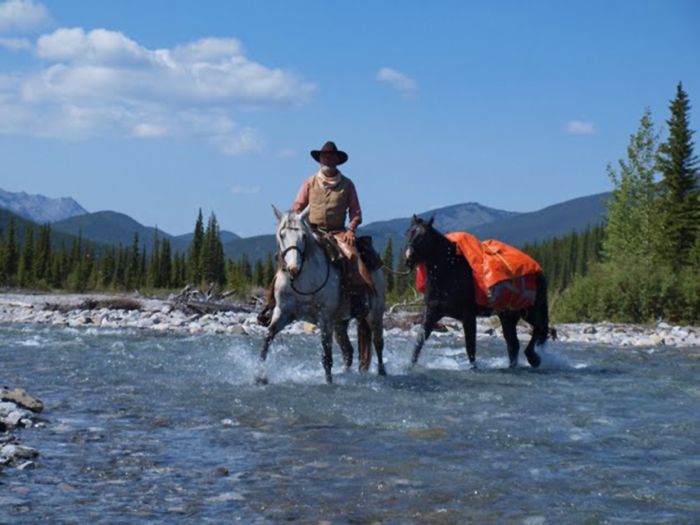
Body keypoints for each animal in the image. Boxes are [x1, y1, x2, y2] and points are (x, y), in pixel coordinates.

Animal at [258, 207, 388, 382]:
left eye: (303, 236)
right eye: (282, 235)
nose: (293, 268)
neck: (304, 281)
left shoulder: (324, 317)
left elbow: (326, 354)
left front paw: (328, 382)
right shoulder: (283, 312)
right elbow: (267, 339)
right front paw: (259, 376)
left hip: (375, 314)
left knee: (378, 343)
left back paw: (382, 372)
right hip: (340, 322)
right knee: (348, 351)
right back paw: (346, 373)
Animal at [404, 216, 548, 368]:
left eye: (423, 236)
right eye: (408, 233)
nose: (408, 259)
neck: (450, 270)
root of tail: (539, 272)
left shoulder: (468, 315)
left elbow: (470, 347)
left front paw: (474, 368)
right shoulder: (432, 312)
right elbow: (419, 342)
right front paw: (410, 366)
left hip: (530, 311)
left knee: (538, 328)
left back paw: (532, 358)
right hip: (508, 316)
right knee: (513, 344)